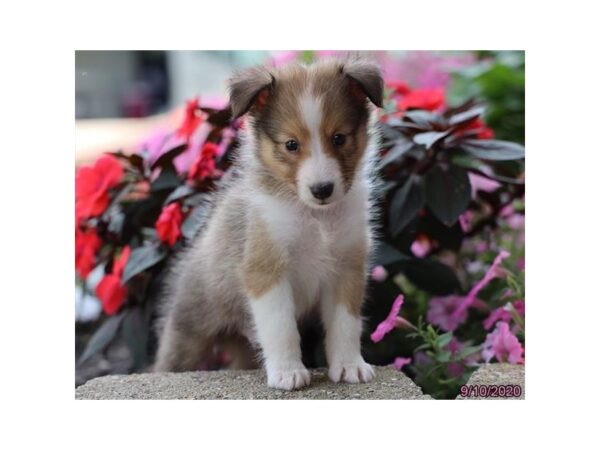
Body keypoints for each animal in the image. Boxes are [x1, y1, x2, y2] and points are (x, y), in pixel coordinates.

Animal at [152, 57, 382, 390]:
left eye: (339, 138)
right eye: (291, 144)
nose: (322, 190)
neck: (315, 217)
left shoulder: (347, 267)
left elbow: (346, 324)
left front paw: (350, 365)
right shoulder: (265, 269)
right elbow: (281, 327)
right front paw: (288, 372)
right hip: (189, 332)